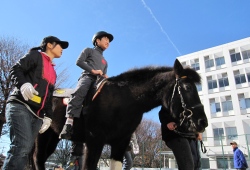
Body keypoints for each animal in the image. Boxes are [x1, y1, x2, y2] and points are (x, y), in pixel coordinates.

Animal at [31, 58, 207, 170]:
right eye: (187, 88)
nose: (202, 122)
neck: (124, 99)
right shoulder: (94, 141)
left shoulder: (120, 142)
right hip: (42, 134)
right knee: (37, 159)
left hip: (53, 136)